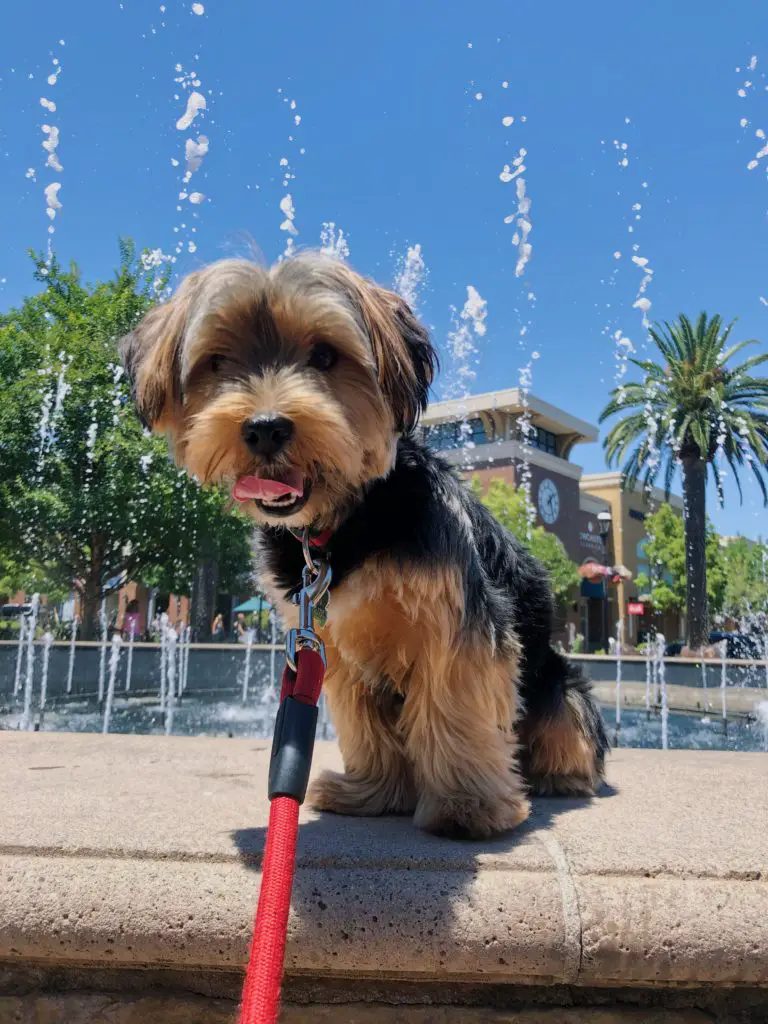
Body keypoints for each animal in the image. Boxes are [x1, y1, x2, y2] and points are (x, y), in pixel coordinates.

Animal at [121, 251, 606, 835]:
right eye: (216, 363)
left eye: (325, 356)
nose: (265, 427)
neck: (343, 524)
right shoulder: (330, 646)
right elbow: (364, 725)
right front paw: (375, 792)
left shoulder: (454, 626)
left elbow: (456, 708)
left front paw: (466, 804)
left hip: (562, 684)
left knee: (566, 726)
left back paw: (557, 776)